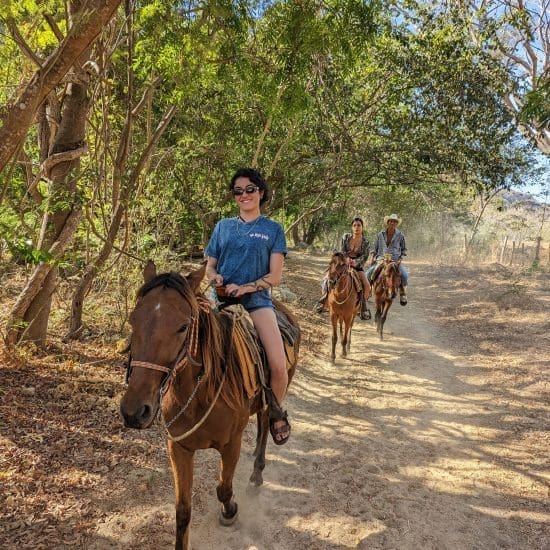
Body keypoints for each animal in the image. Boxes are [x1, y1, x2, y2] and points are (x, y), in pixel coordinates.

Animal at [121, 264, 302, 550]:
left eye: (183, 327)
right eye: (132, 320)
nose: (134, 411)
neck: (197, 395)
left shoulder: (231, 444)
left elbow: (223, 488)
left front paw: (230, 512)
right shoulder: (178, 448)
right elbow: (182, 510)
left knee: (265, 423)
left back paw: (257, 473)